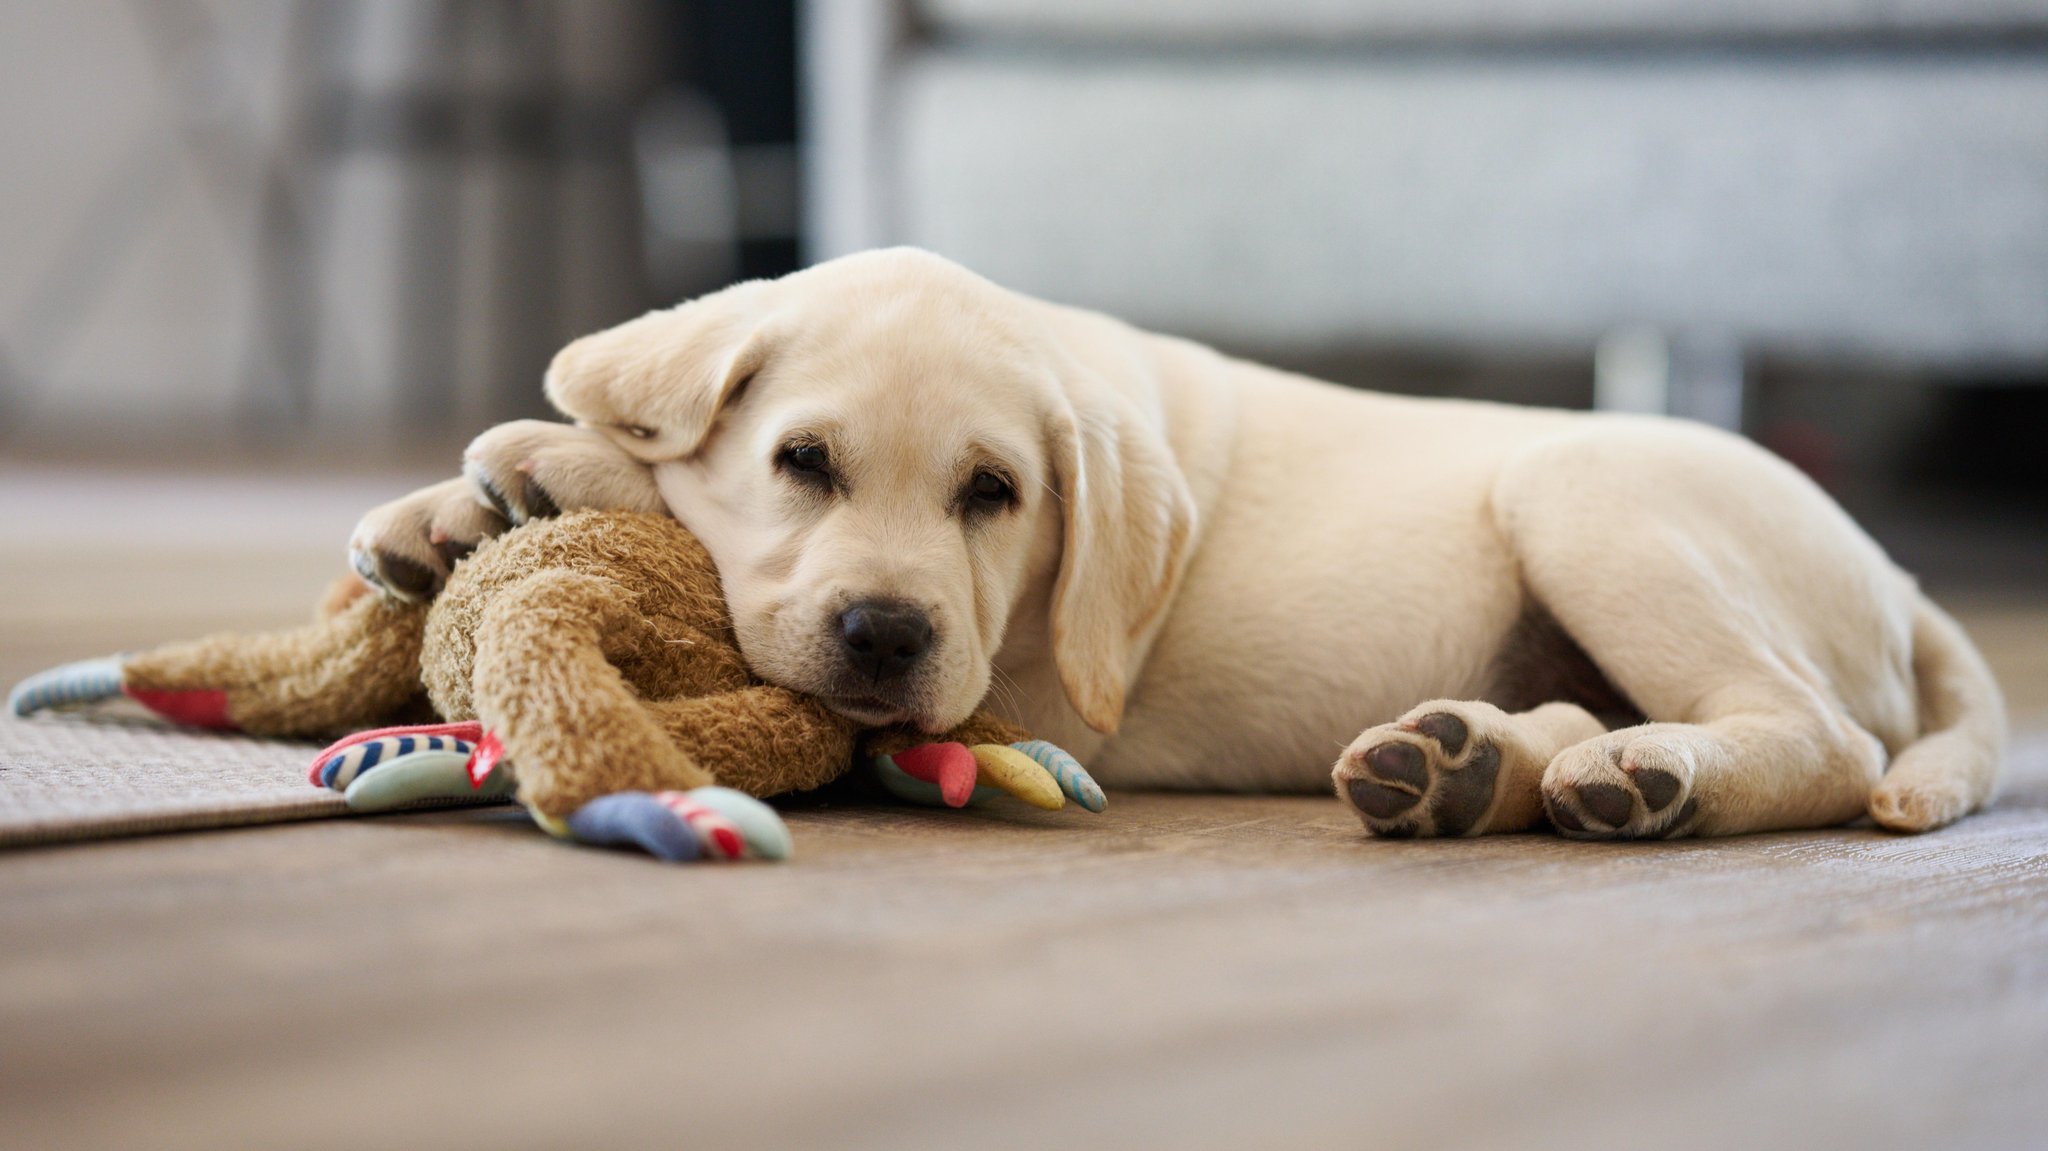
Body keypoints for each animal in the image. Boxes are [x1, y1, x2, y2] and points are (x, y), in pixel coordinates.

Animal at [348, 246, 1998, 839]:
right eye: (803, 462)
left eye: (995, 493)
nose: (886, 635)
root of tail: (1903, 579)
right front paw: (459, 507)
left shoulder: (1025, 675)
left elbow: (660, 493)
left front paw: (551, 462)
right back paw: (1465, 763)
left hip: (1587, 490)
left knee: (1824, 736)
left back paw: (1641, 776)